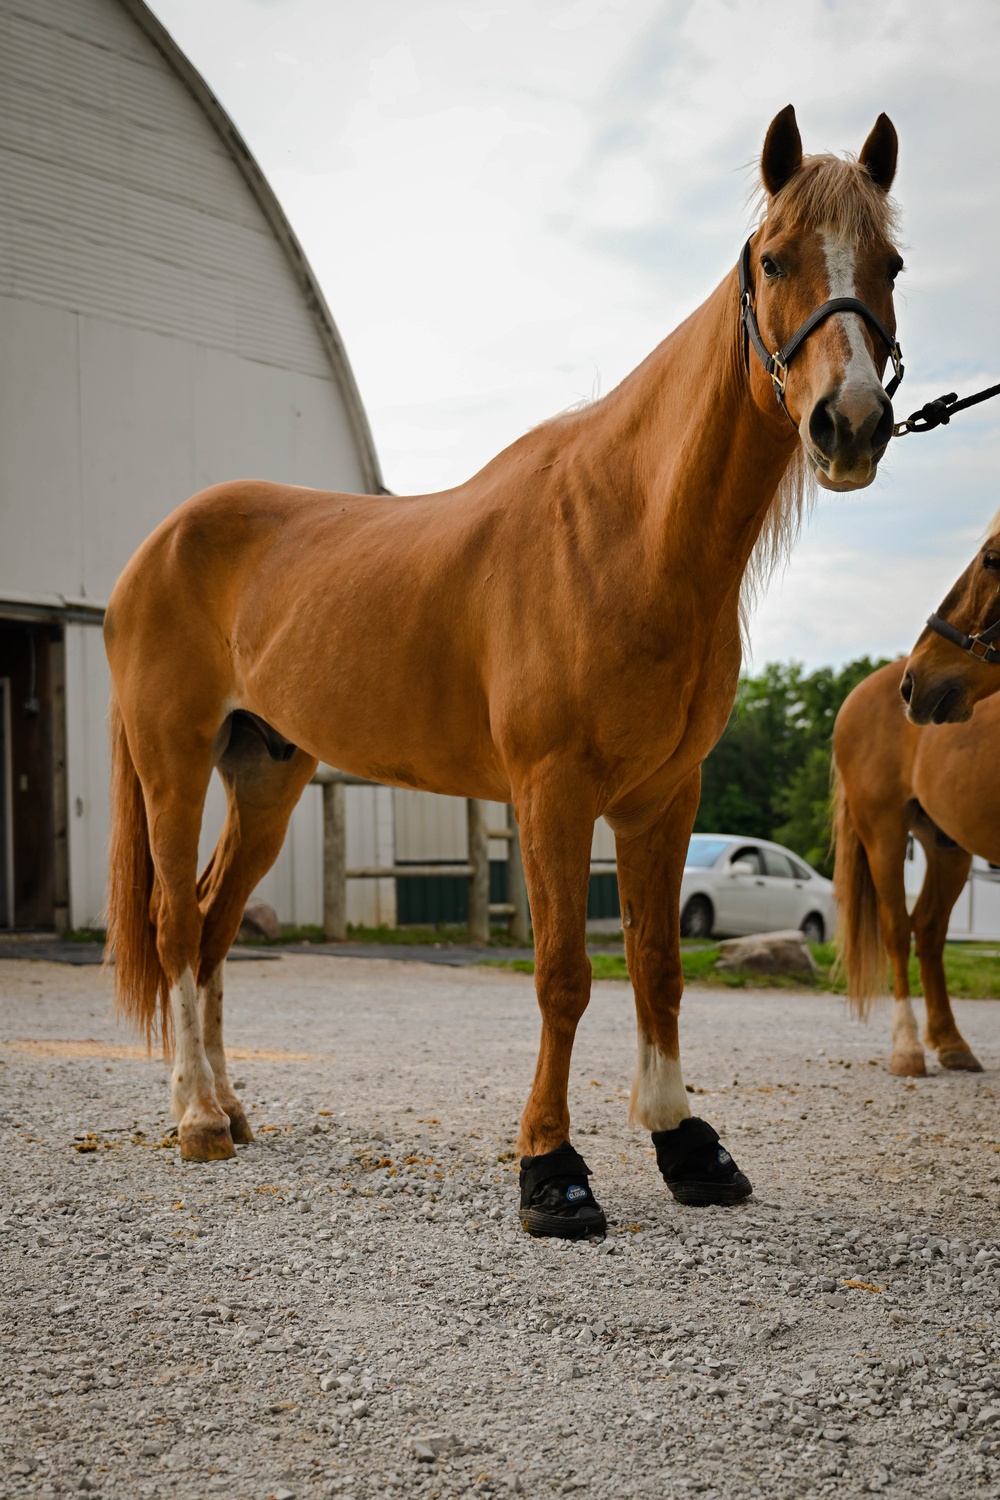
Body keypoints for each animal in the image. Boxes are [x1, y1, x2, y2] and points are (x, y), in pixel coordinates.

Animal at [105, 102, 905, 1230]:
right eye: (774, 257)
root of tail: (157, 547)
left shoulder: (664, 795)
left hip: (266, 774)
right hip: (173, 761)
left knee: (218, 927)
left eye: (891, 263)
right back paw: (195, 1118)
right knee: (178, 923)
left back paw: (233, 1106)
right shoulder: (553, 790)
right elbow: (564, 973)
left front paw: (685, 1145)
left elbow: (658, 966)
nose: (851, 423)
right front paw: (552, 1171)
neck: (629, 534)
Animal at [833, 663, 989, 1074]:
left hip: (947, 846)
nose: (917, 686)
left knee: (930, 930)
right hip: (884, 834)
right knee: (899, 930)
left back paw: (952, 1043)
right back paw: (907, 1047)